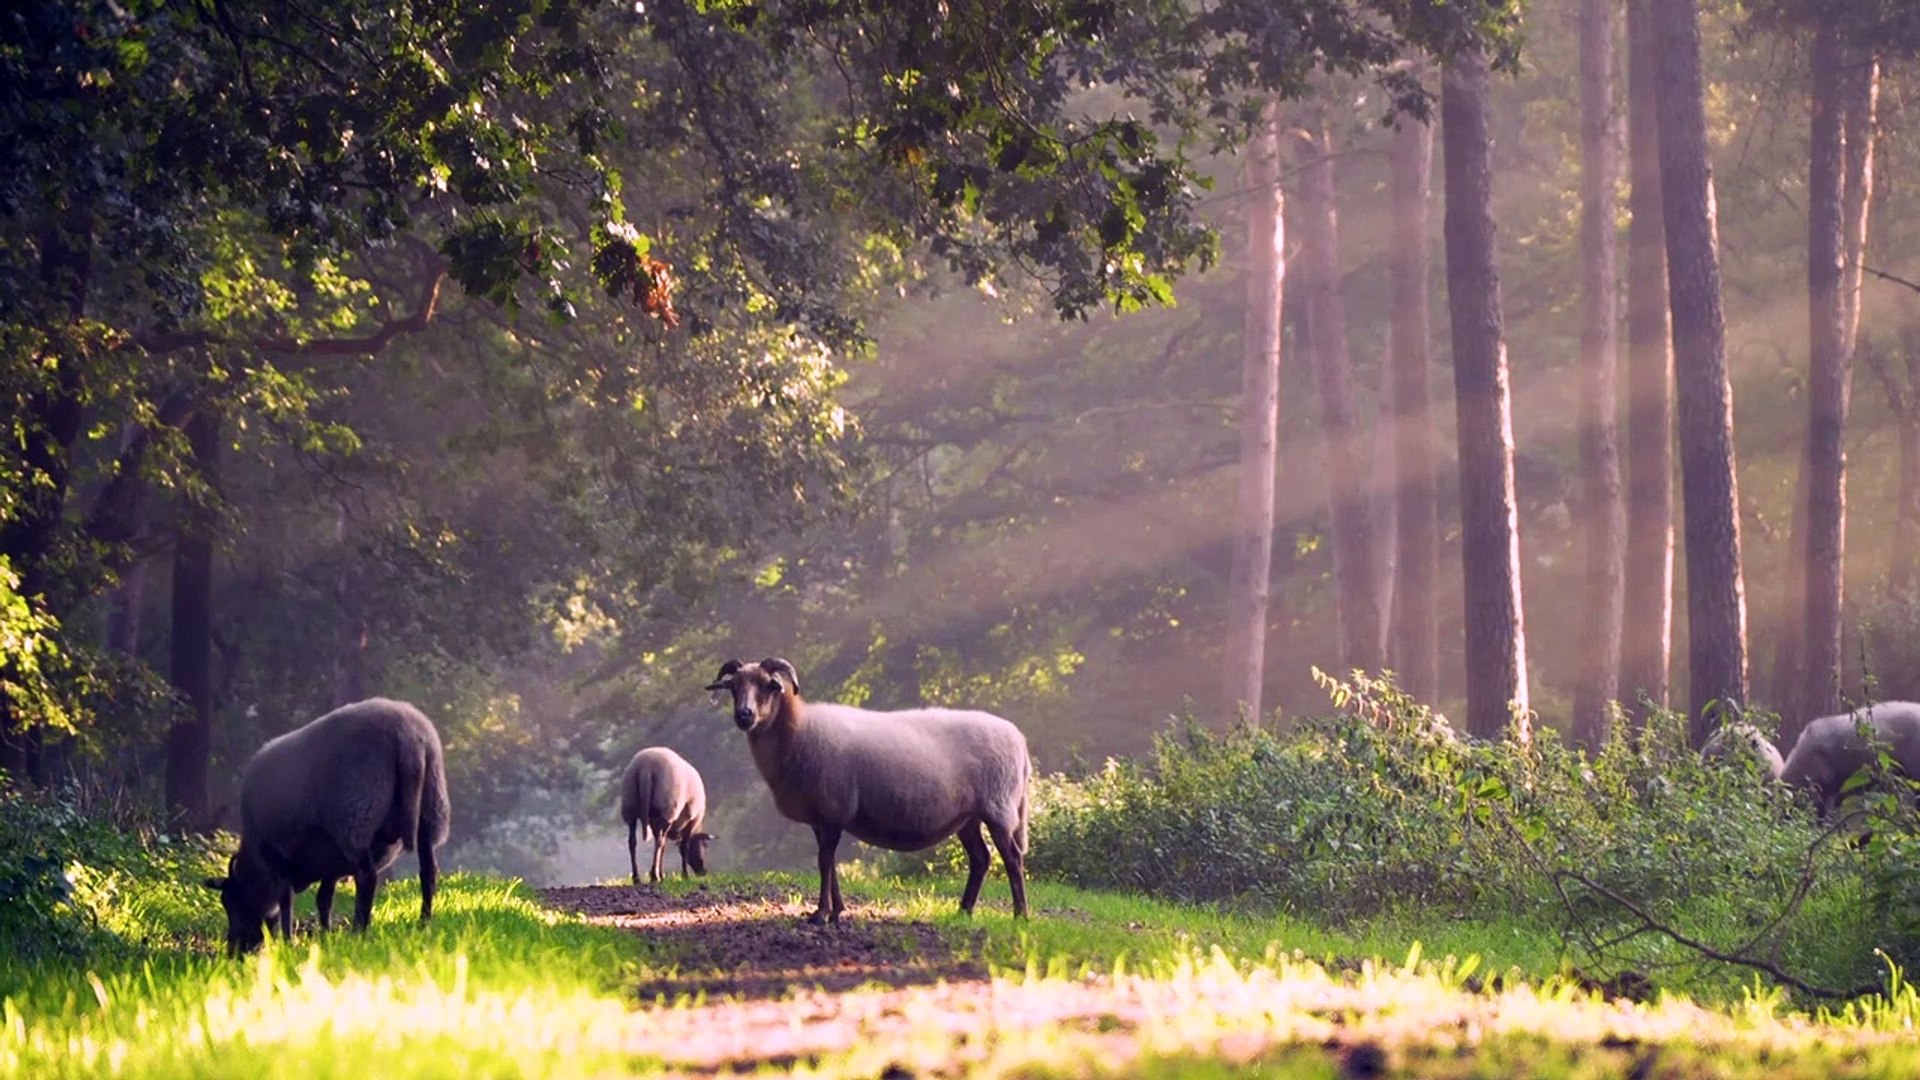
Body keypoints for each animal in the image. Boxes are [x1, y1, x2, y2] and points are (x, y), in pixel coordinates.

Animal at [202, 697, 450, 954]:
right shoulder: (331, 861)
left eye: (232, 901)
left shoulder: (276, 854)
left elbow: (285, 900)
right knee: (428, 872)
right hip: (432, 807)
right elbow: (323, 899)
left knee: (368, 878)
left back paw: (359, 932)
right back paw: (424, 923)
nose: (234, 950)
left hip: (356, 818)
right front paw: (324, 935)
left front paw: (288, 941)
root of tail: (409, 736)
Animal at [619, 746, 713, 885]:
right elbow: (684, 847)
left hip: (630, 806)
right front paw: (685, 875)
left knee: (633, 842)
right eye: (704, 846)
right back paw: (654, 876)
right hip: (666, 809)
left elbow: (664, 849)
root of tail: (646, 766)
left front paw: (663, 874)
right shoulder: (691, 821)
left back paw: (637, 878)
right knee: (658, 842)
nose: (703, 872)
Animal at [705, 657, 1031, 924]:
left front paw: (821, 914)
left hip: (999, 807)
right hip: (967, 816)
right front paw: (836, 911)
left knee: (1013, 859)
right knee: (981, 859)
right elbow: (828, 862)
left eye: (767, 686)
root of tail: (1018, 739)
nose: (744, 715)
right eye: (733, 687)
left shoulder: (833, 809)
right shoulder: (820, 817)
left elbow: (825, 862)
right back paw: (963, 912)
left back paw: (1021, 916)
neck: (797, 730)